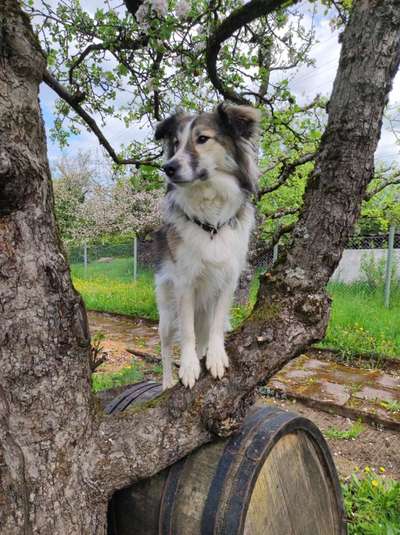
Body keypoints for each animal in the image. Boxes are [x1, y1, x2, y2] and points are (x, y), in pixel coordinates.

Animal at [152, 103, 260, 390]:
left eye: (202, 139)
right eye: (175, 143)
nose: (168, 168)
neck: (211, 224)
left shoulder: (228, 281)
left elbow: (216, 326)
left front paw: (215, 357)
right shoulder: (184, 283)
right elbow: (187, 333)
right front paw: (189, 367)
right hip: (166, 313)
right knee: (166, 347)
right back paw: (167, 382)